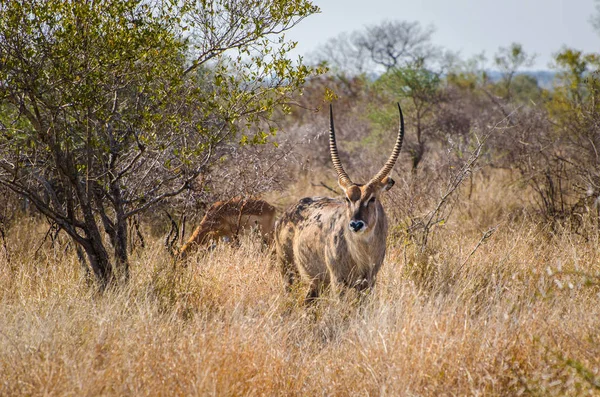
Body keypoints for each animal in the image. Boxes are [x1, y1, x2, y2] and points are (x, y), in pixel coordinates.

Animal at [276, 103, 406, 298]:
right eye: (347, 198)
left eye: (372, 198)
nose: (356, 225)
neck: (362, 252)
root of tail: (288, 212)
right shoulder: (337, 281)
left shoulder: (369, 282)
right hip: (289, 272)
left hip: (315, 284)